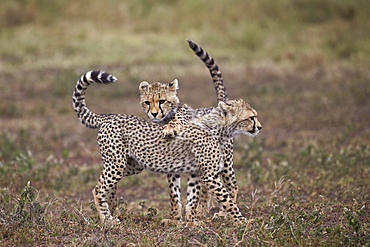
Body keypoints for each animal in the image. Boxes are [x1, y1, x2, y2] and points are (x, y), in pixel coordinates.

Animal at [72, 69, 262, 224]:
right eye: (251, 117)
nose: (259, 127)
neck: (218, 128)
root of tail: (109, 116)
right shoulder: (209, 175)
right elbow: (227, 200)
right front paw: (242, 221)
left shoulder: (196, 172)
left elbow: (192, 197)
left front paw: (191, 222)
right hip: (117, 164)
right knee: (98, 189)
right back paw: (107, 220)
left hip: (131, 165)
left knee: (107, 185)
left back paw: (113, 208)